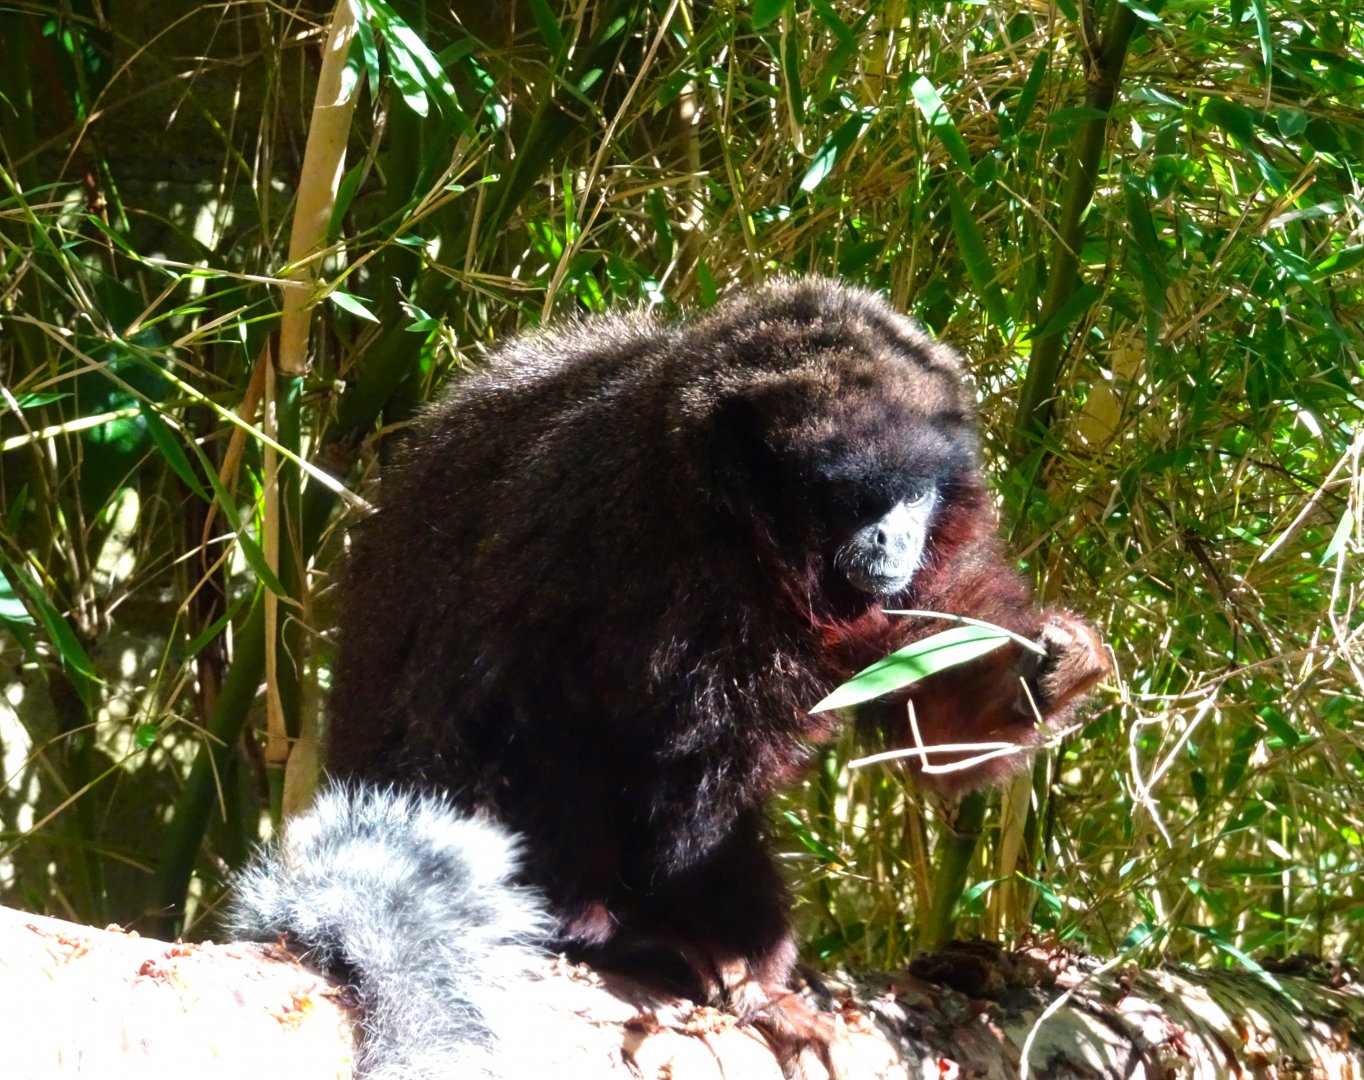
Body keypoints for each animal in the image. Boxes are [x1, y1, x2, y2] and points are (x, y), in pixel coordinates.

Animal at [231, 277, 1108, 1076]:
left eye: (916, 496)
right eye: (859, 501)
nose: (894, 540)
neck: (740, 535)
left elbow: (934, 715)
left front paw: (1049, 670)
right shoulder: (655, 549)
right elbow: (646, 754)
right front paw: (715, 948)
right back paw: (614, 935)